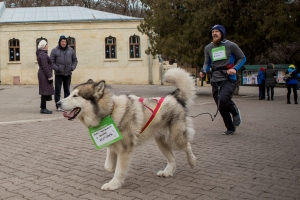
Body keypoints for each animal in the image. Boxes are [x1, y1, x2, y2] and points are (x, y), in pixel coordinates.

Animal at [57, 67, 197, 191]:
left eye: (75, 96)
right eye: (70, 94)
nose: (58, 103)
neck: (110, 112)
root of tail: (174, 96)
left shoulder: (125, 149)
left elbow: (119, 170)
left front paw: (113, 184)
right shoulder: (112, 143)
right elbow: (108, 166)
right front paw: (112, 168)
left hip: (175, 140)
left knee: (188, 146)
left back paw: (192, 162)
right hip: (161, 143)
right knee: (173, 159)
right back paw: (167, 172)